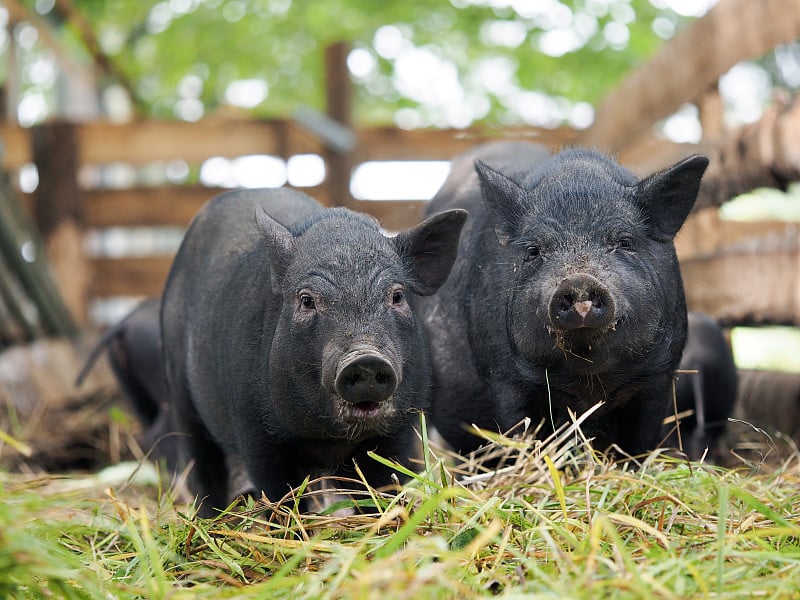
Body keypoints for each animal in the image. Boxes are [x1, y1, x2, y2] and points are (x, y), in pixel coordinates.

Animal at [159, 188, 466, 516]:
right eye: (307, 300)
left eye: (397, 296)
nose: (366, 359)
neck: (328, 439)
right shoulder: (254, 428)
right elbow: (279, 494)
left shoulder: (400, 429)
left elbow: (381, 487)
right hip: (181, 395)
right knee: (203, 470)